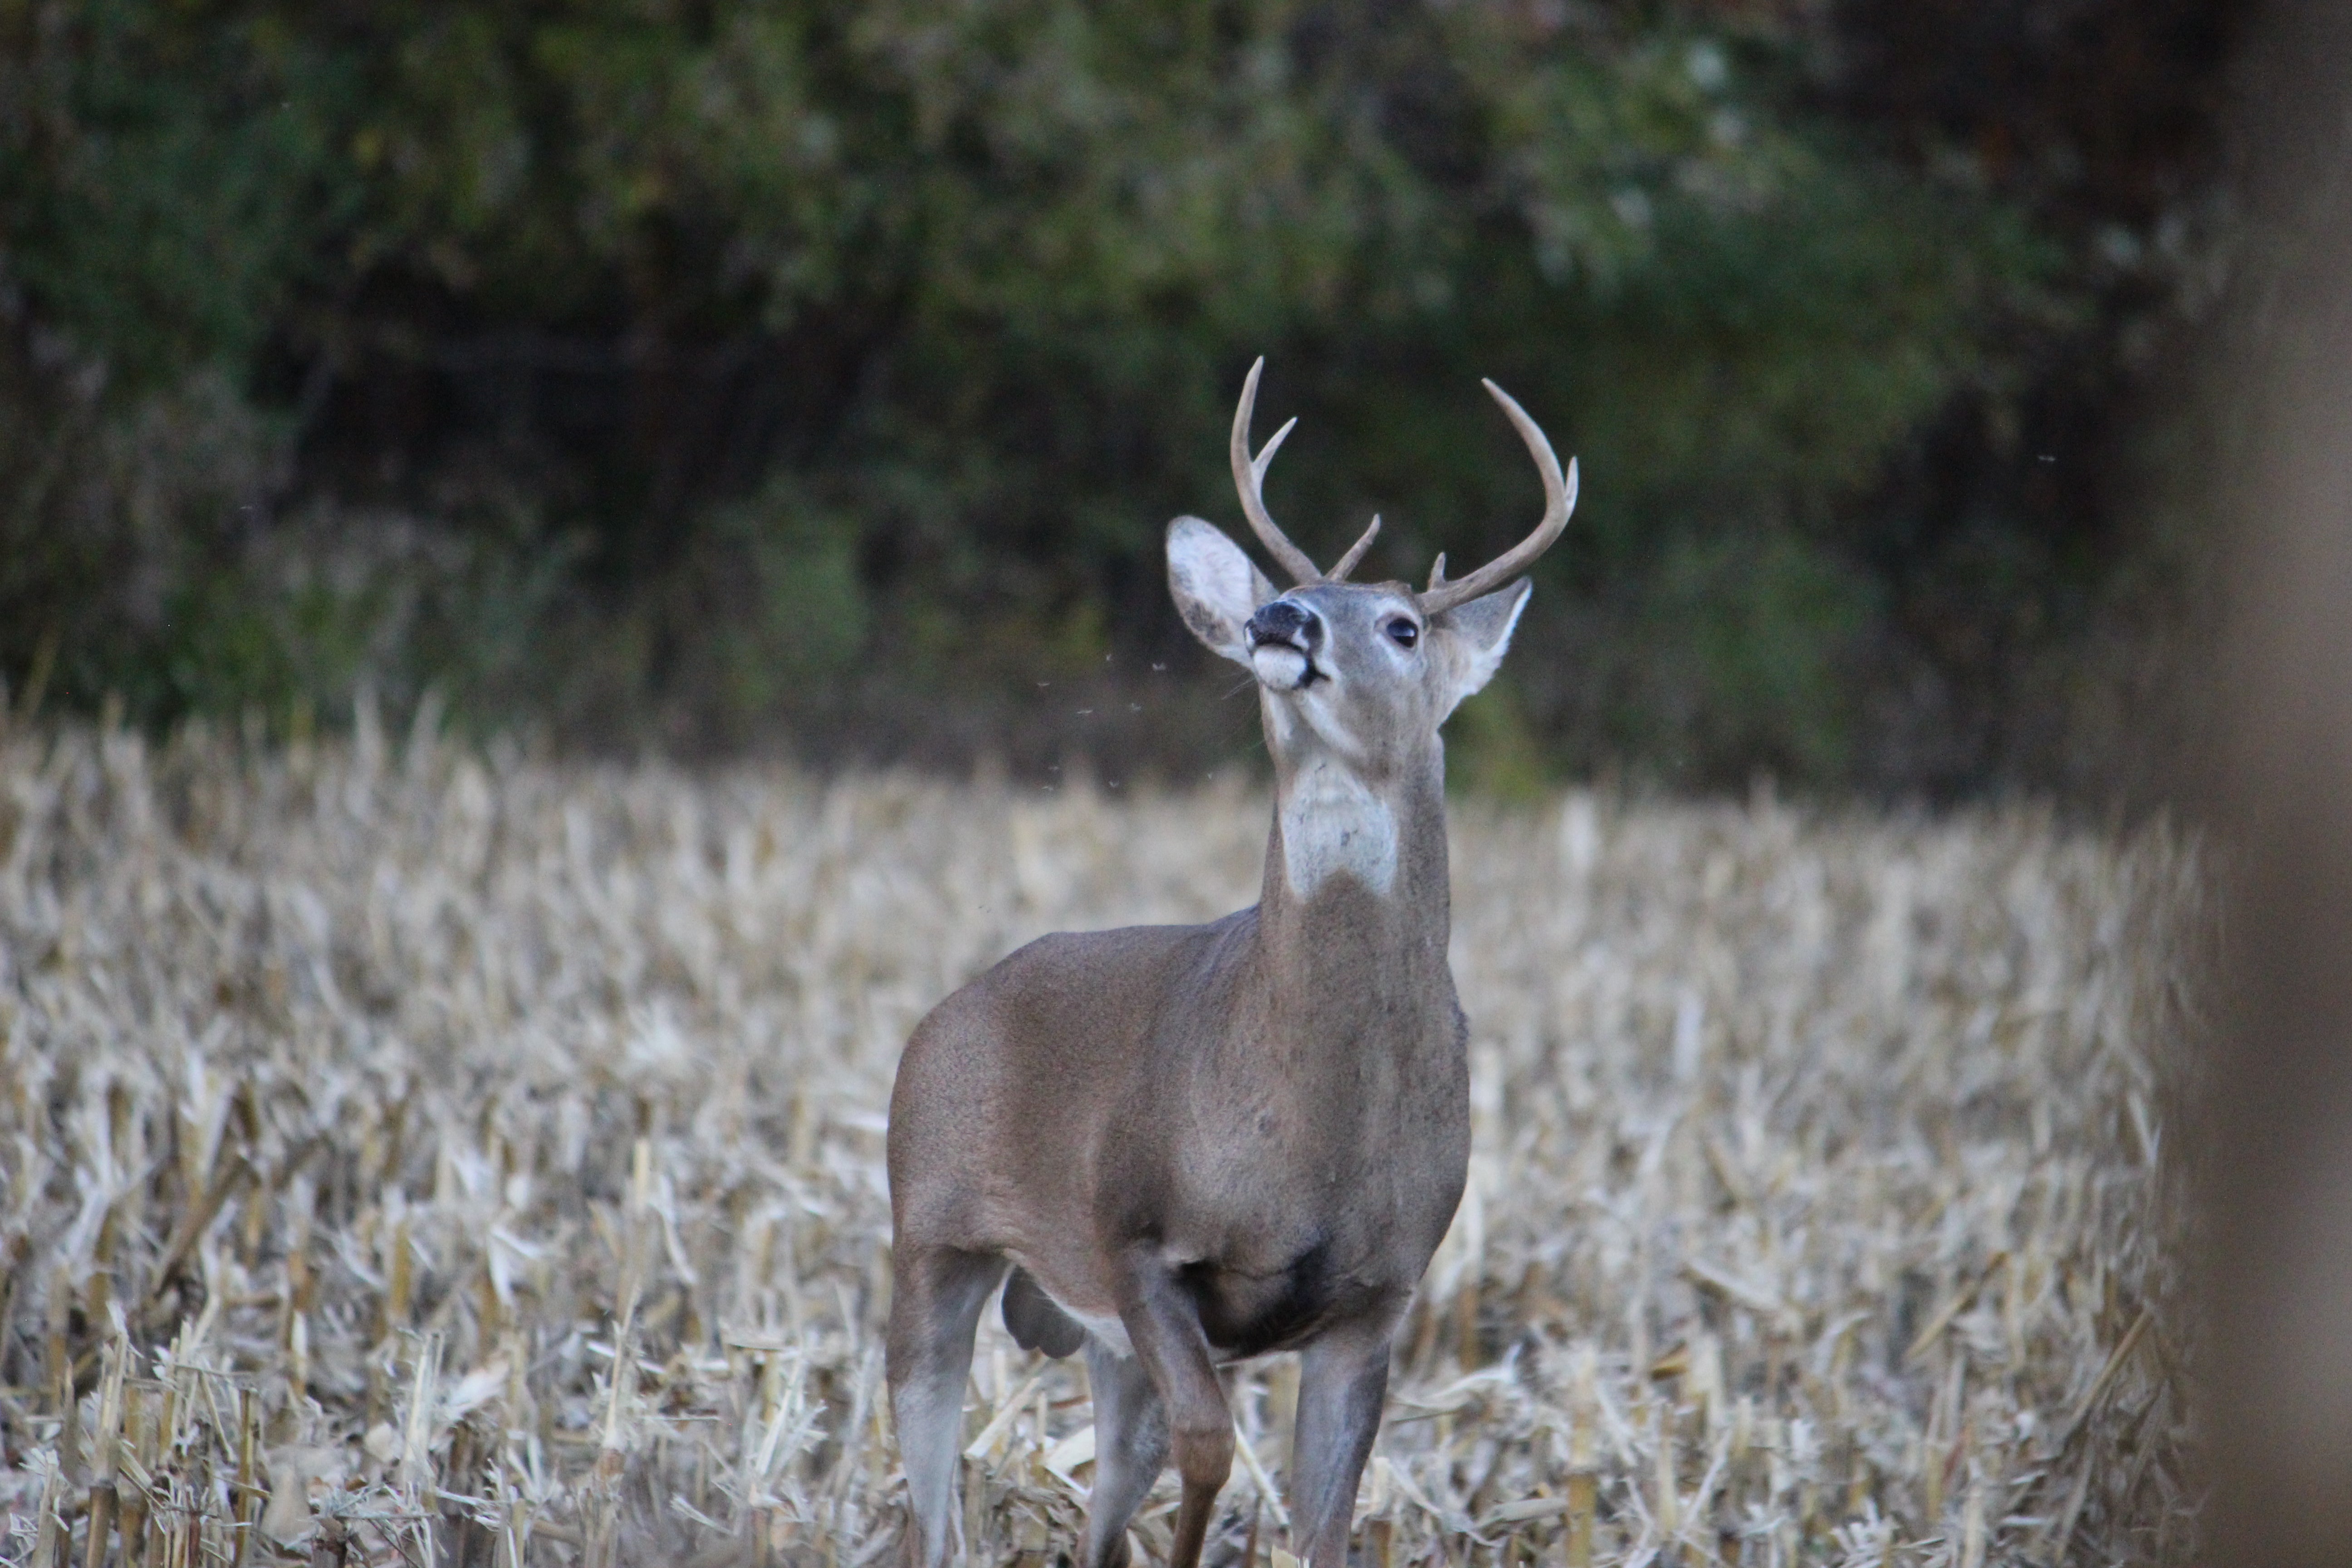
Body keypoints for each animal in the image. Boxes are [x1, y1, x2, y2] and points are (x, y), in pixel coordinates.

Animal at [885, 358, 1577, 1568]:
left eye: (1403, 625)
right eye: (1301, 598)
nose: (1279, 615)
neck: (1316, 1130)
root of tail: (947, 1008)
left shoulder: (1378, 1296)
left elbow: (1324, 1519)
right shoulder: (1134, 1233)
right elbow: (1207, 1450)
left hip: (1095, 1334)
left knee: (1105, 1477)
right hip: (926, 1225)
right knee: (929, 1495)